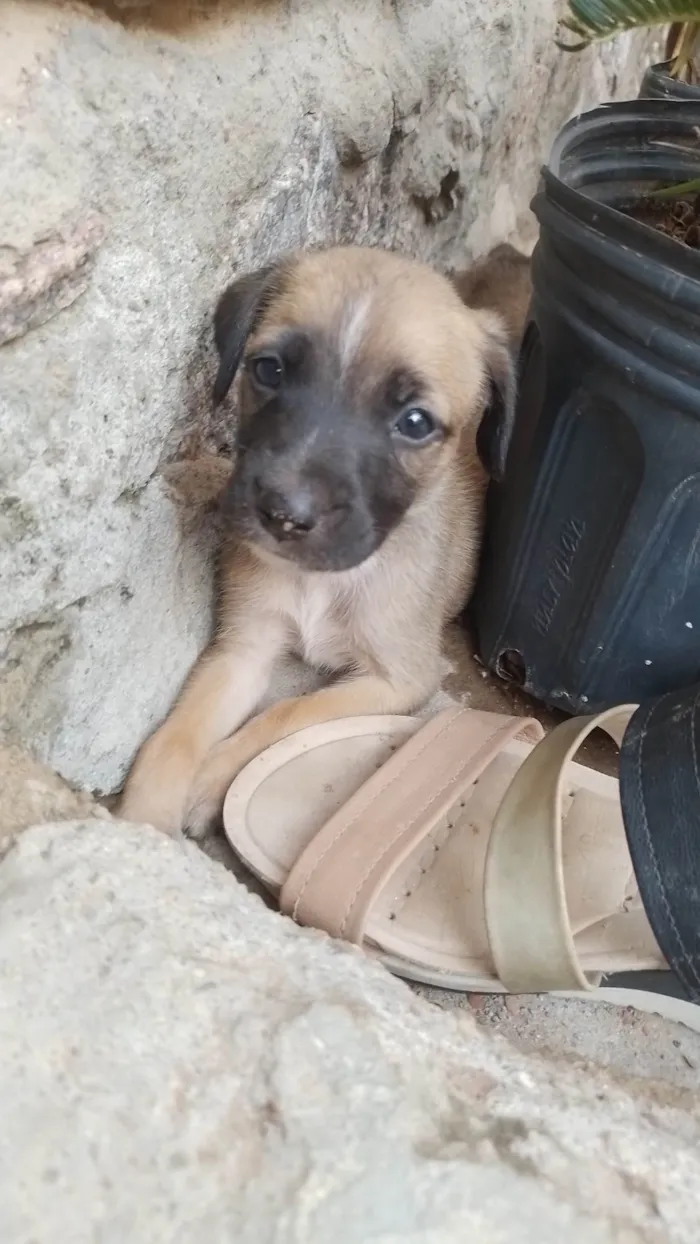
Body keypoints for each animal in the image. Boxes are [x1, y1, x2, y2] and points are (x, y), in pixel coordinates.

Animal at [117, 242, 517, 835]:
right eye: (269, 369)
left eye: (415, 422)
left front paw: (214, 777)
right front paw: (142, 820)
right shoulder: (243, 647)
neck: (320, 580)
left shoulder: (398, 678)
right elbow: (176, 733)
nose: (284, 515)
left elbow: (289, 713)